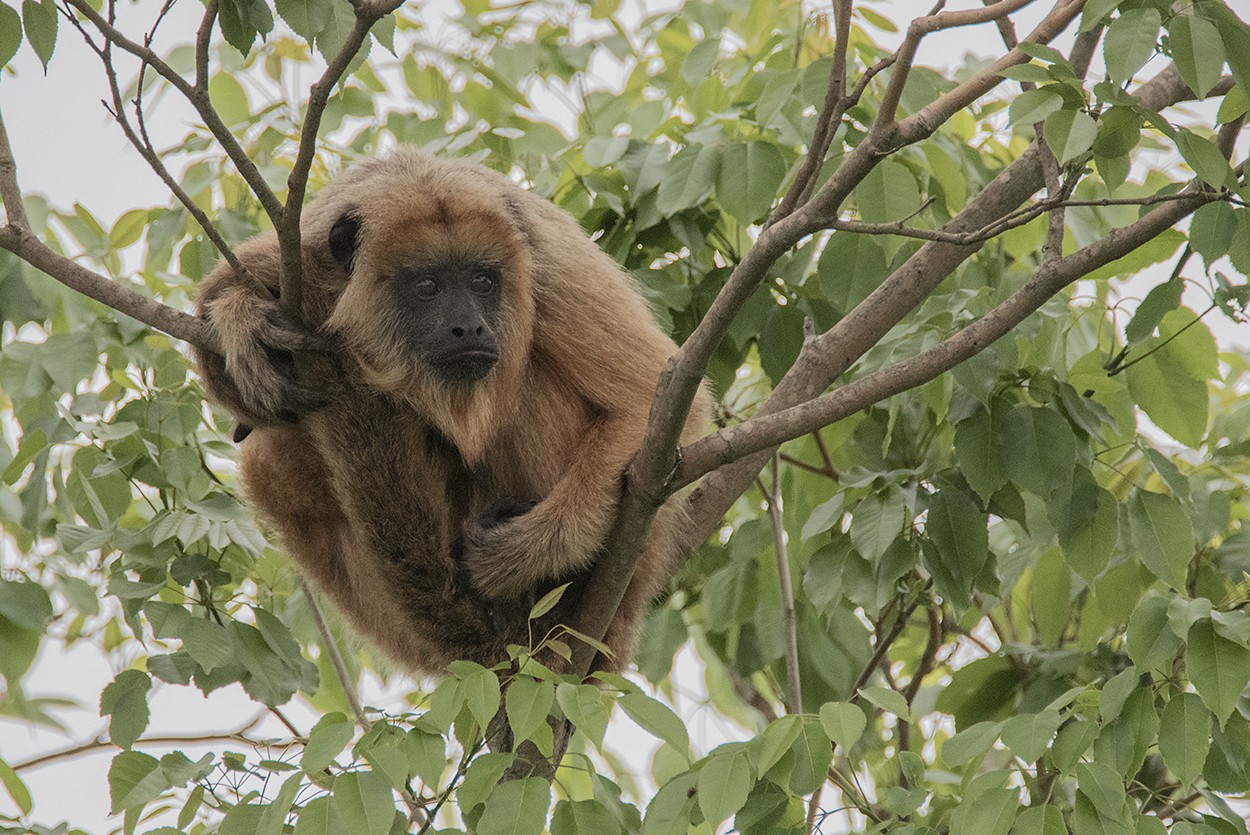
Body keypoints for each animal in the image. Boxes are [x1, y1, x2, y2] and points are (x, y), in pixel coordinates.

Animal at [190, 148, 710, 670]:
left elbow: (650, 399)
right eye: (427, 286)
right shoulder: (305, 244)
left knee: (528, 384)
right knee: (268, 457)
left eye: (482, 282)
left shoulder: (549, 261)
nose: (469, 327)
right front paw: (240, 320)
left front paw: (525, 554)